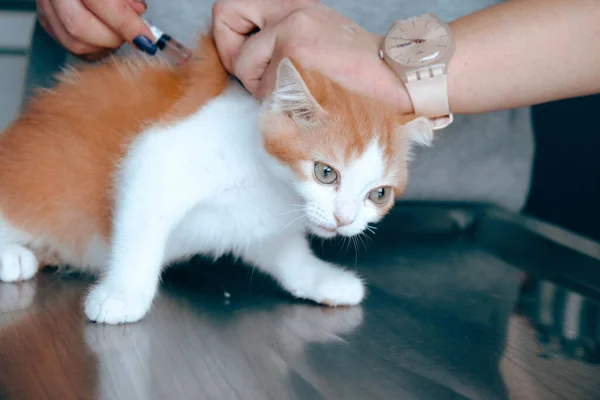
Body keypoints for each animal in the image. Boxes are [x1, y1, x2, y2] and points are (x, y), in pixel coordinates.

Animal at [0, 33, 432, 322]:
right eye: (326, 172)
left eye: (379, 194)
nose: (345, 219)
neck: (269, 185)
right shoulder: (155, 162)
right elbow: (139, 236)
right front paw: (122, 294)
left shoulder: (257, 222)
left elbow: (287, 254)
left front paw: (321, 279)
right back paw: (12, 256)